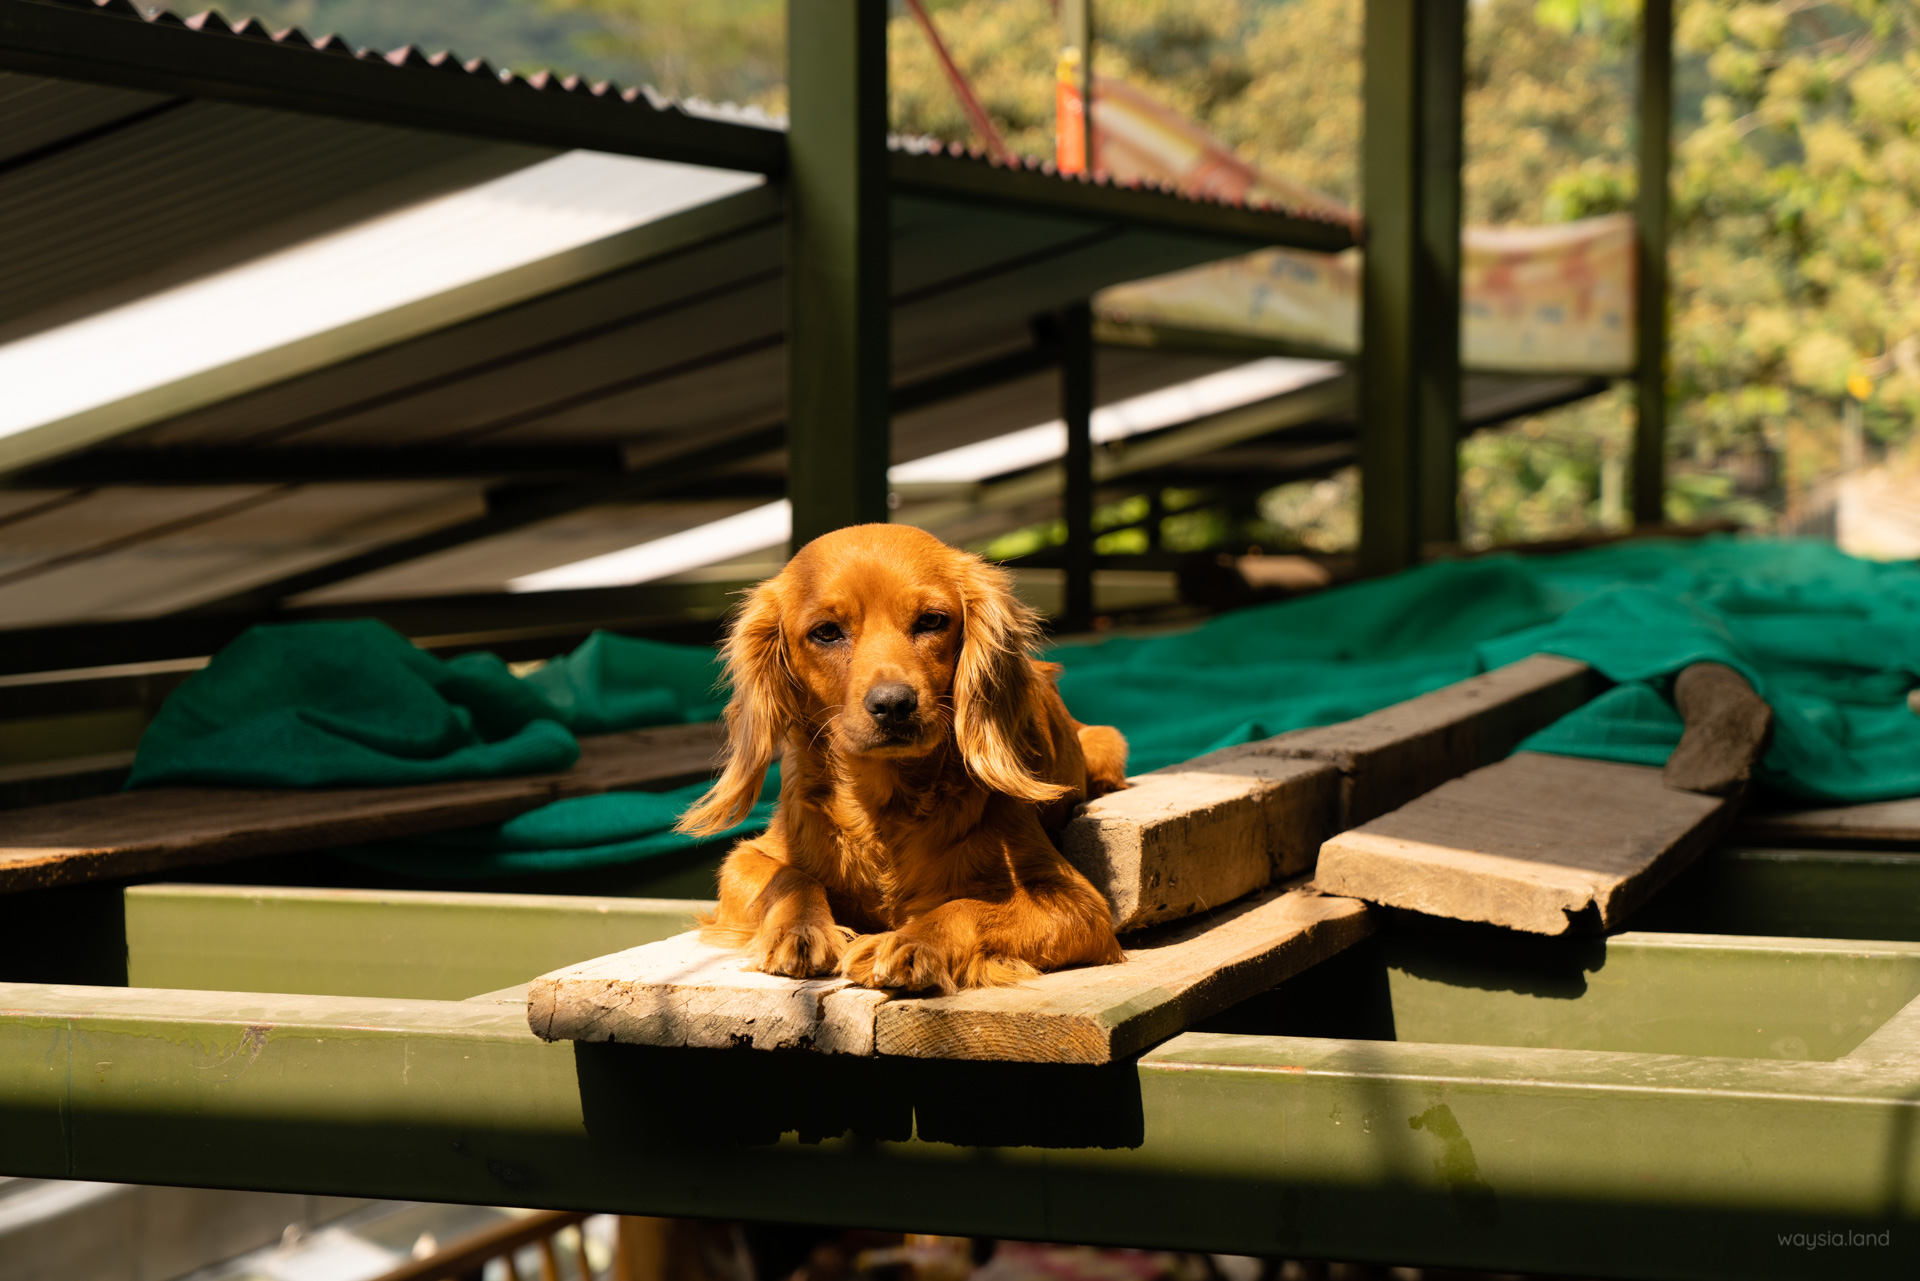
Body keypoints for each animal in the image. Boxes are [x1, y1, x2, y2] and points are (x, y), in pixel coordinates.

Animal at [679, 522, 1128, 990]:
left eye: (931, 621)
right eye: (826, 632)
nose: (893, 704)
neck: (885, 803)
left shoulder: (1077, 903)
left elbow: (969, 907)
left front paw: (911, 940)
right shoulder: (749, 858)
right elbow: (787, 877)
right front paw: (799, 929)